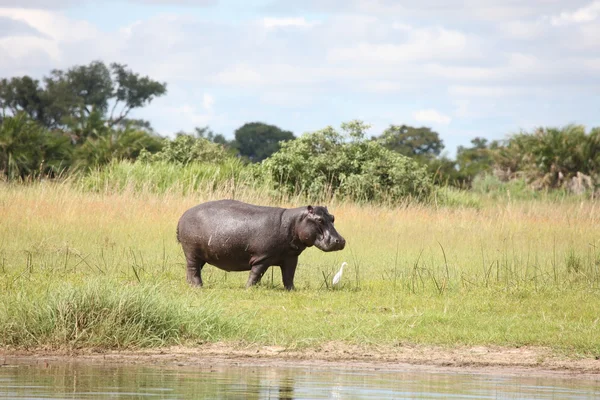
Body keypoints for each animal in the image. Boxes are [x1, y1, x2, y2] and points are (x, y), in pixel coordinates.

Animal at [177, 200, 346, 290]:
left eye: (332, 217)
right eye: (319, 220)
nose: (341, 240)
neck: (295, 222)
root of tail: (183, 215)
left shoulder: (291, 258)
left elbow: (289, 275)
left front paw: (292, 290)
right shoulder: (263, 258)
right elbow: (256, 274)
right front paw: (249, 288)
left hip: (200, 255)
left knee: (192, 270)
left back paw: (190, 285)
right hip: (192, 252)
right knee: (193, 269)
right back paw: (198, 287)